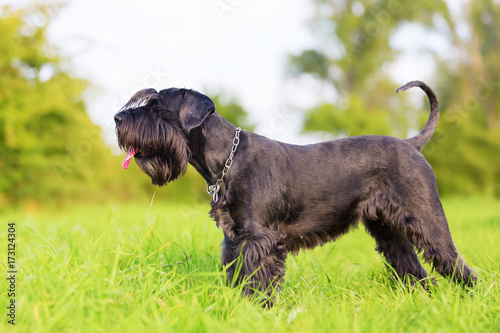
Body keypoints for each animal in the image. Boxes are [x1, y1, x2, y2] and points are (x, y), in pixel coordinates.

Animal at [114, 80, 476, 300]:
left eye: (157, 106)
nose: (118, 118)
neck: (227, 157)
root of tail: (411, 144)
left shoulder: (260, 239)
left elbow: (257, 280)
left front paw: (255, 309)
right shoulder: (235, 238)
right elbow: (236, 275)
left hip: (427, 220)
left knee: (455, 263)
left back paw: (470, 299)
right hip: (388, 230)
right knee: (414, 270)